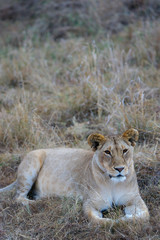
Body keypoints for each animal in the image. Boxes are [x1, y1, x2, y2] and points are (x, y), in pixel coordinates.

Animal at [0, 128, 149, 224]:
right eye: (107, 152)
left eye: (125, 151)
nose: (119, 169)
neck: (113, 183)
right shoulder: (90, 203)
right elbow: (98, 221)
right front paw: (116, 221)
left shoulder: (134, 199)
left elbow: (145, 216)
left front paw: (127, 219)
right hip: (34, 160)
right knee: (18, 197)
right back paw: (44, 200)